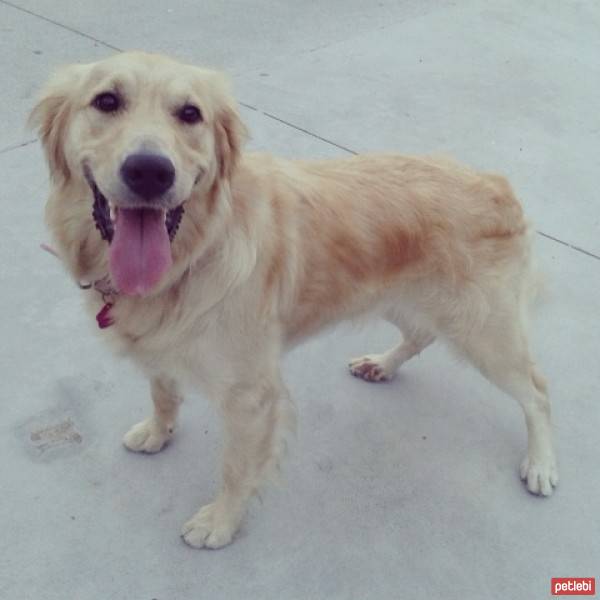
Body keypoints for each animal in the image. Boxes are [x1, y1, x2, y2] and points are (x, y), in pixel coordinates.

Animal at [30, 51, 556, 548]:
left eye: (190, 113)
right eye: (106, 101)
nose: (149, 171)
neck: (196, 252)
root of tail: (496, 183)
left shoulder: (251, 396)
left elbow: (236, 468)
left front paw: (220, 523)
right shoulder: (161, 347)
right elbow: (163, 393)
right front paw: (158, 432)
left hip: (484, 333)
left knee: (537, 391)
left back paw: (541, 463)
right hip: (399, 298)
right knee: (421, 334)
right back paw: (382, 364)